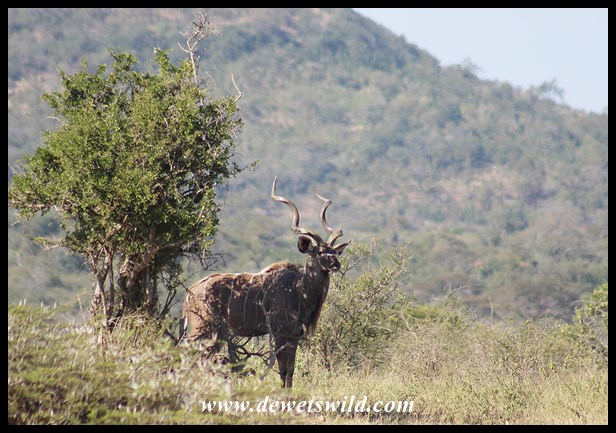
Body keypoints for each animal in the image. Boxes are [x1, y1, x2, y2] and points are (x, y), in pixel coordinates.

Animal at [181, 177, 350, 387]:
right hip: (201, 329)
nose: (336, 264)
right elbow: (283, 370)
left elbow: (290, 370)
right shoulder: (279, 333)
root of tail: (190, 292)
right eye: (320, 252)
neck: (298, 290)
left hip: (215, 334)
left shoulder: (293, 336)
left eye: (334, 251)